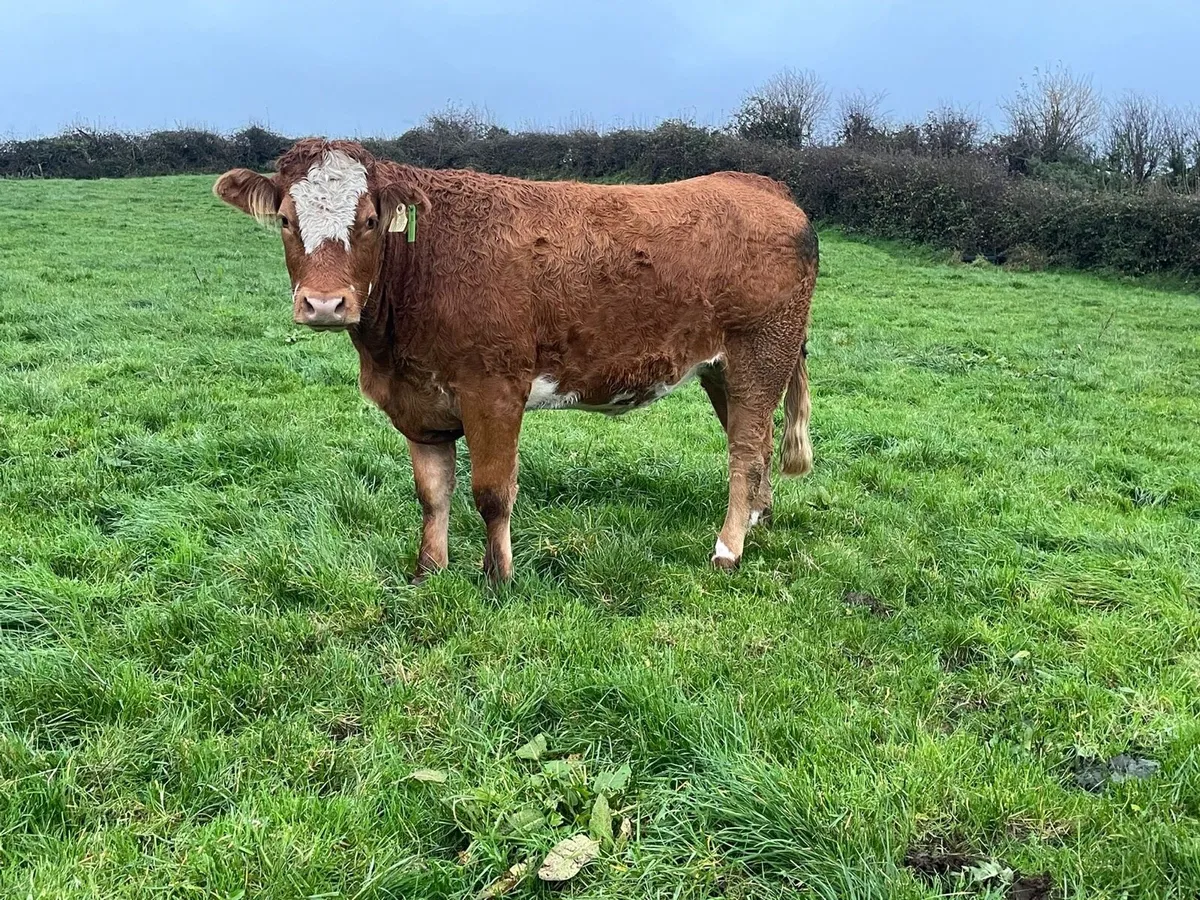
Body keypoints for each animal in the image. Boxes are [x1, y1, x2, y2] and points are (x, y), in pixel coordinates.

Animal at [214, 139, 817, 582]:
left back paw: (729, 548)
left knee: (745, 453)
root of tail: (760, 184)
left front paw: (497, 576)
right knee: (758, 442)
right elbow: (432, 493)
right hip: (724, 368)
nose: (323, 304)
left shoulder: (495, 389)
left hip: (761, 353)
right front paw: (429, 571)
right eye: (286, 220)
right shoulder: (418, 403)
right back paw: (758, 520)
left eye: (367, 221)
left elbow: (491, 492)